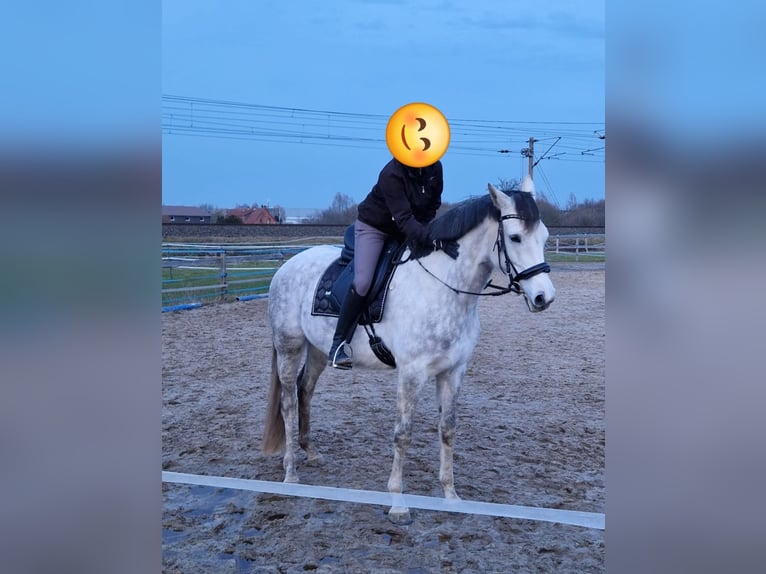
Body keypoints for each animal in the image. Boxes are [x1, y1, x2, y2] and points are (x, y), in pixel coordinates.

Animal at [262, 176, 555, 523]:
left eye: (544, 236)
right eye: (515, 237)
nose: (544, 297)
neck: (444, 288)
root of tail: (288, 266)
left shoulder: (453, 372)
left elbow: (448, 430)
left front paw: (451, 496)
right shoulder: (412, 373)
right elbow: (402, 435)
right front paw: (398, 503)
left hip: (319, 350)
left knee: (305, 390)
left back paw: (310, 452)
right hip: (289, 346)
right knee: (289, 402)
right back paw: (291, 472)